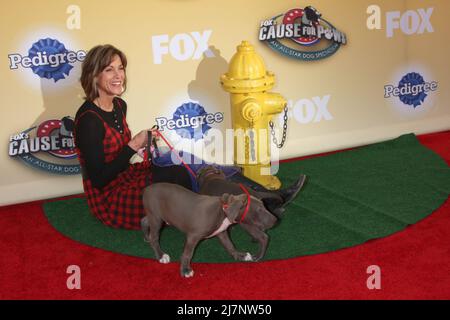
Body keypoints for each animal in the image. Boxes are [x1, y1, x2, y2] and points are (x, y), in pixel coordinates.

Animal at [144, 182, 278, 278]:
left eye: (264, 206)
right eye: (259, 210)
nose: (276, 220)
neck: (222, 210)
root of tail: (146, 189)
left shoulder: (222, 232)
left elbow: (230, 245)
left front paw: (240, 255)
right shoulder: (193, 236)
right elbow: (187, 254)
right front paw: (185, 270)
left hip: (155, 217)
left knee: (145, 221)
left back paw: (146, 235)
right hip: (156, 218)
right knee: (154, 237)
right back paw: (161, 255)